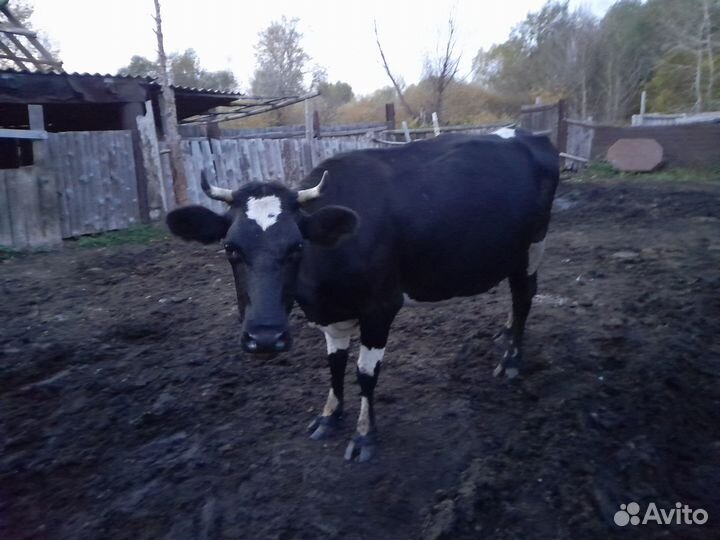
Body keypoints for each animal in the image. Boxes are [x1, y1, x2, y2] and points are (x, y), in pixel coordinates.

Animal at [166, 130, 559, 462]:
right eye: (230, 248)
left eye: (297, 247)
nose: (265, 338)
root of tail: (529, 135)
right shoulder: (332, 314)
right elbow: (335, 364)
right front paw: (329, 416)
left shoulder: (380, 307)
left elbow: (366, 373)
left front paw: (364, 436)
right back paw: (504, 335)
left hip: (532, 247)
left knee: (524, 296)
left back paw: (511, 361)